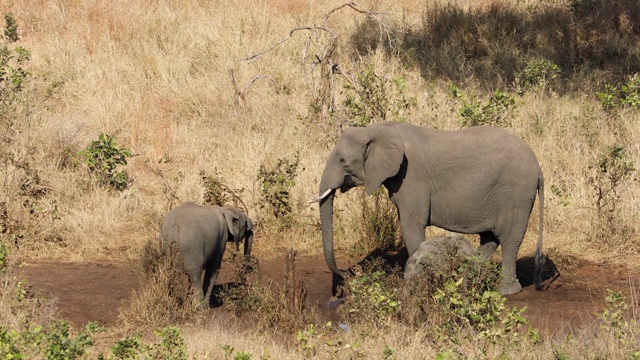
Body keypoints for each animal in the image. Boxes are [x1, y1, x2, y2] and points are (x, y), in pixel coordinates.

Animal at [318, 121, 544, 296]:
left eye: (342, 160)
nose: (348, 273)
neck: (377, 129)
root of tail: (539, 168)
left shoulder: (411, 177)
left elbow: (411, 225)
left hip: (516, 194)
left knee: (509, 240)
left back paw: (505, 291)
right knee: (490, 239)